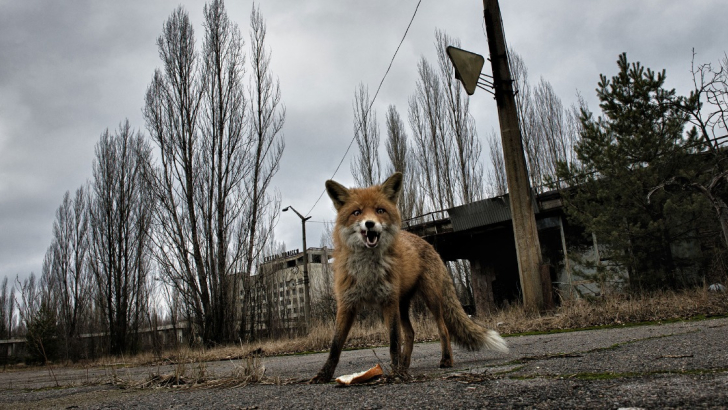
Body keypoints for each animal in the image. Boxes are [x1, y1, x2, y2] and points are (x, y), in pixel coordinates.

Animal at [310, 172, 508, 383]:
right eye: (357, 212)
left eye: (380, 210)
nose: (370, 224)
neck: (368, 269)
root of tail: (428, 244)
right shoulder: (347, 303)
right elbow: (335, 346)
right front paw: (323, 375)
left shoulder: (388, 301)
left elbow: (394, 342)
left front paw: (396, 374)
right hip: (402, 305)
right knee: (411, 333)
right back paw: (405, 365)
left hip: (430, 298)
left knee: (443, 329)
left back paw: (445, 360)